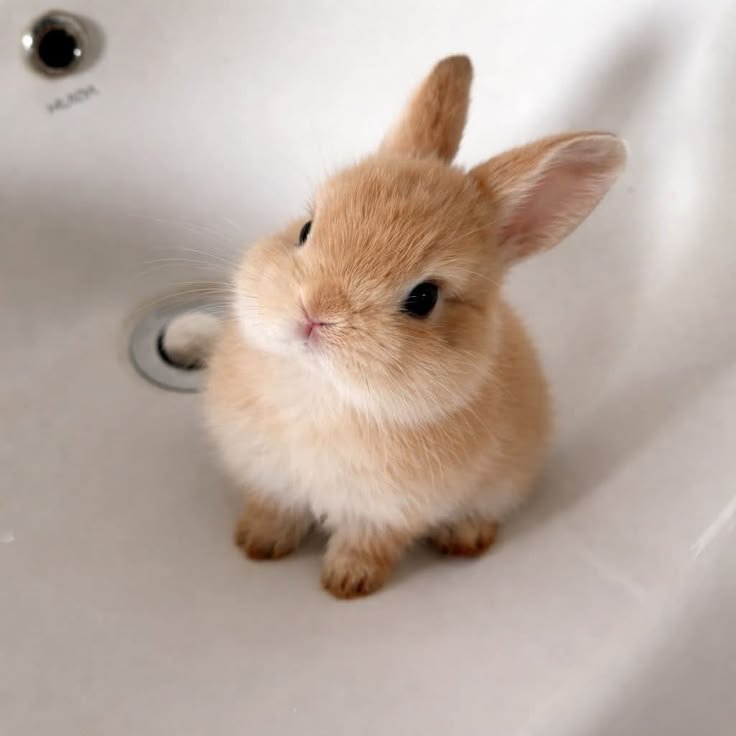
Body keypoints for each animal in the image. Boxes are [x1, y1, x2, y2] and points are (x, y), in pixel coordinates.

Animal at [204, 54, 626, 599]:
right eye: (305, 230)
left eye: (424, 298)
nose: (314, 312)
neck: (321, 391)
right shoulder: (271, 479)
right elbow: (274, 511)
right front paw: (256, 545)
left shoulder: (386, 514)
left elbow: (365, 546)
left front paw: (345, 584)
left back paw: (465, 540)